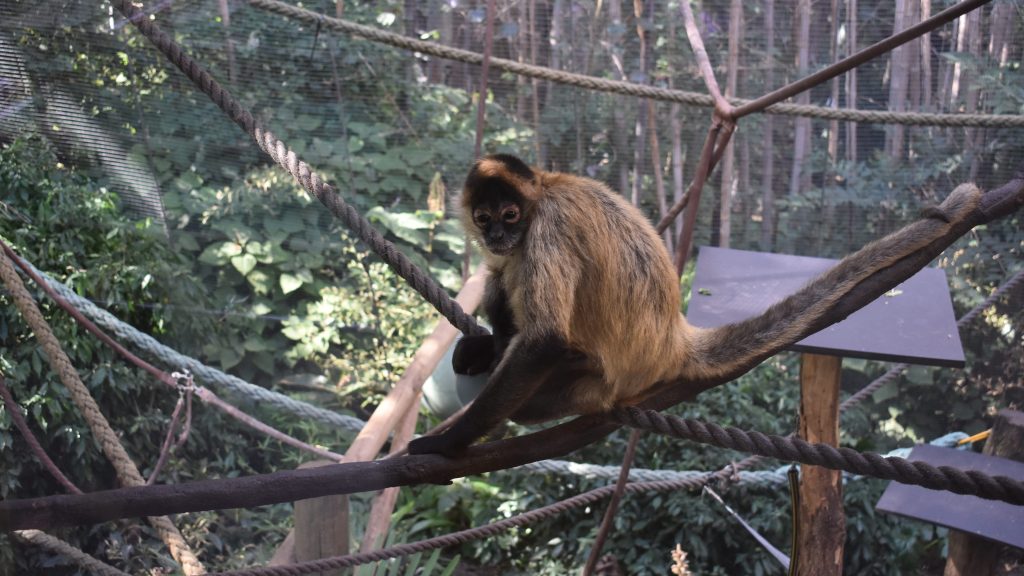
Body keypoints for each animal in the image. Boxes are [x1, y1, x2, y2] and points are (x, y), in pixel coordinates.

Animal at [407, 153, 981, 456]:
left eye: (510, 214)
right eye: (483, 218)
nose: (498, 235)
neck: (545, 190)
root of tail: (670, 339)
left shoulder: (546, 225)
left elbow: (544, 338)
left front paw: (447, 443)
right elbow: (496, 274)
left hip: (586, 385)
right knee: (502, 275)